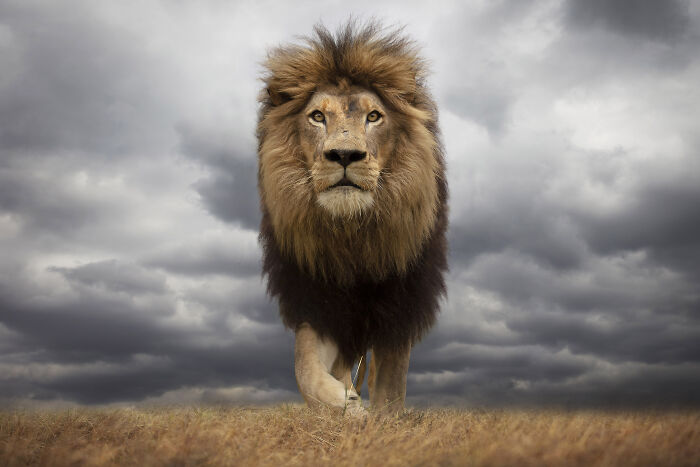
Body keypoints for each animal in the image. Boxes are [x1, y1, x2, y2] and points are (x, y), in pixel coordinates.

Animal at [257, 21, 447, 413]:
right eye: (317, 116)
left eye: (373, 116)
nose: (344, 154)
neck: (352, 234)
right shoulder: (319, 300)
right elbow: (304, 367)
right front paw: (343, 405)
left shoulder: (400, 304)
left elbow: (391, 383)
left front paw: (382, 417)